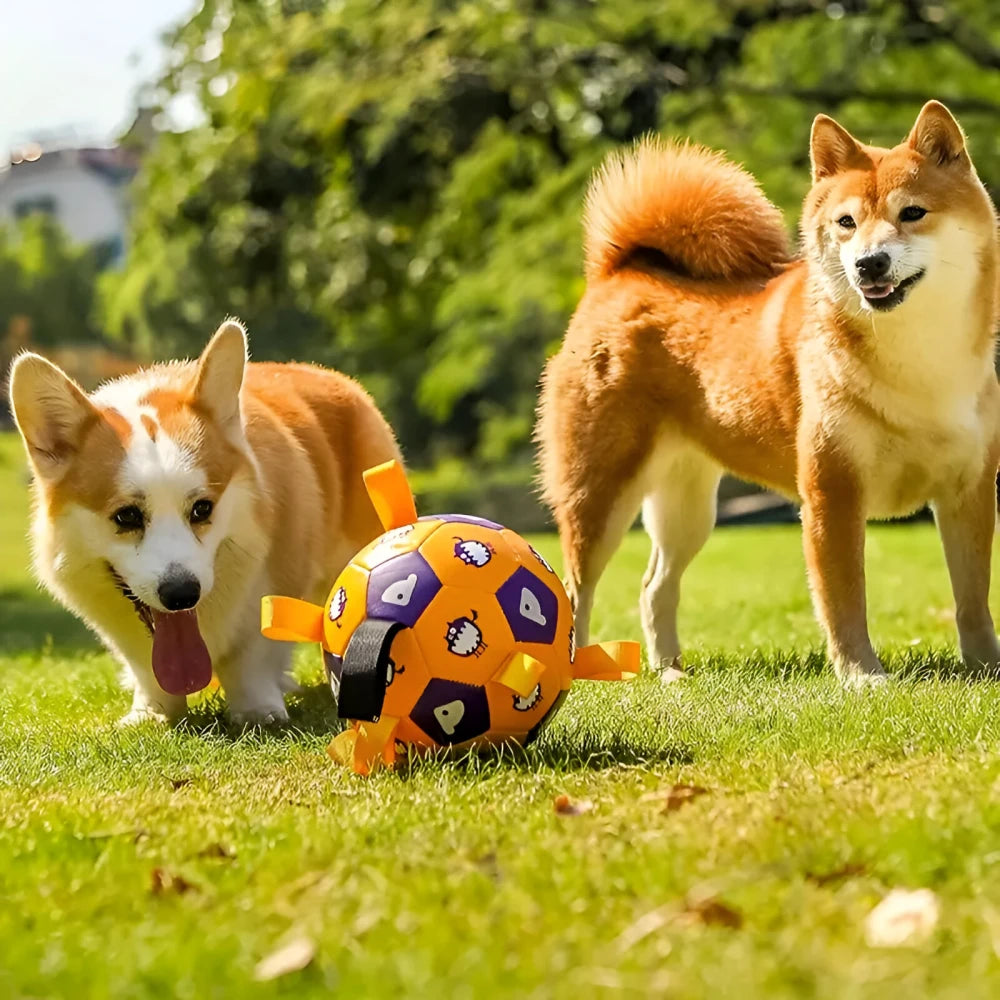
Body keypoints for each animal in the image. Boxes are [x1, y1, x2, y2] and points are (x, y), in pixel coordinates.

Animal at [7, 320, 400, 720]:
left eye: (202, 509)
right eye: (127, 516)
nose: (182, 594)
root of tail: (330, 375)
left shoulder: (274, 583)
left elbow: (253, 655)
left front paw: (257, 710)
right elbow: (146, 669)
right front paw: (152, 713)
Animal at [540, 101, 1000, 684]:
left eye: (913, 212)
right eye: (846, 223)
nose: (868, 263)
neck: (916, 360)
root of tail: (620, 272)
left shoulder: (970, 490)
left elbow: (972, 598)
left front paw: (987, 665)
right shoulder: (832, 493)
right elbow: (844, 600)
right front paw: (861, 676)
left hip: (687, 506)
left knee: (654, 586)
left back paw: (671, 673)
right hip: (598, 493)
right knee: (576, 589)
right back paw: (574, 671)